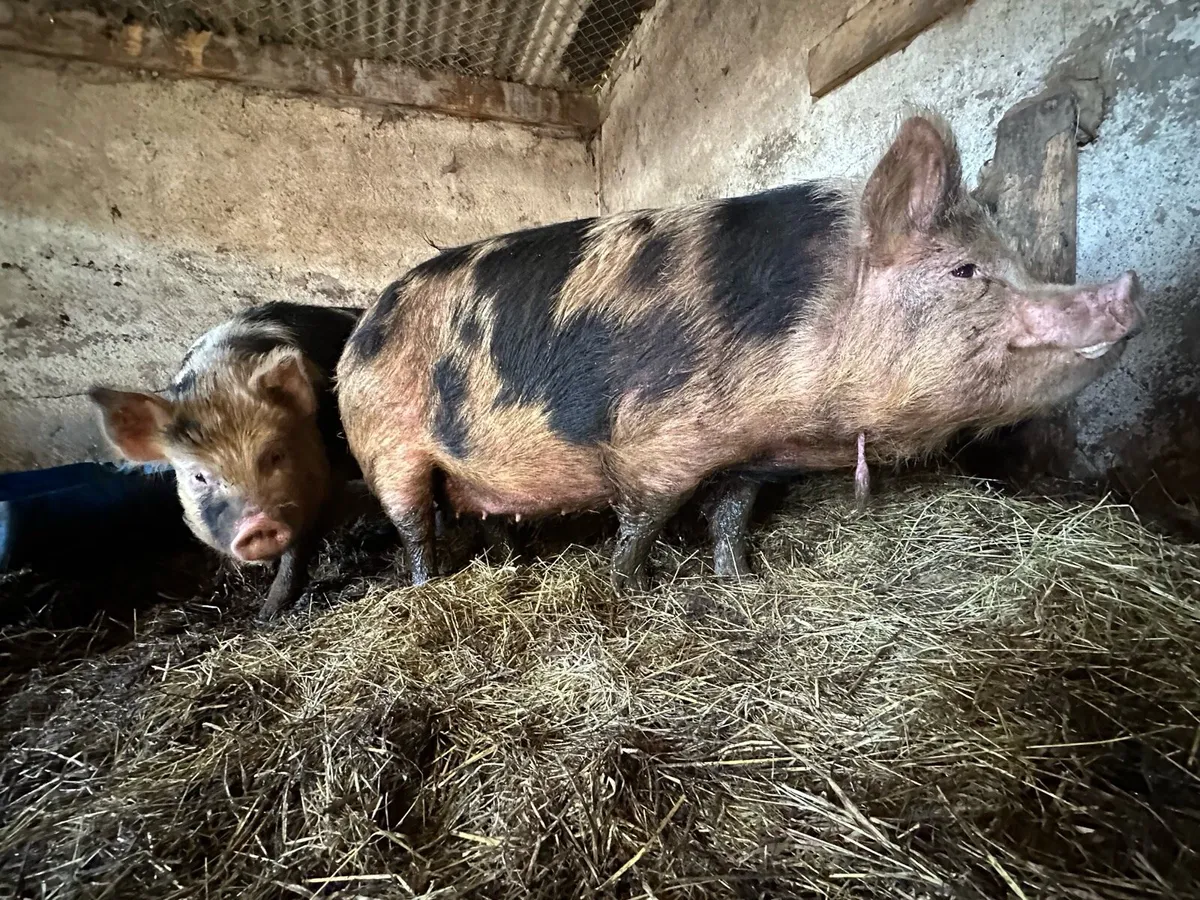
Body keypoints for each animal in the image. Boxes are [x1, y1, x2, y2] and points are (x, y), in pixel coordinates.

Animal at [90, 302, 364, 618]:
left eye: (276, 455)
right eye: (198, 476)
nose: (258, 524)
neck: (217, 382)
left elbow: (297, 548)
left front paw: (266, 615)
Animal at [335, 113, 1143, 592]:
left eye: (1017, 260)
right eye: (967, 271)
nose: (1129, 293)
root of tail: (359, 330)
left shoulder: (749, 452)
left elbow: (731, 513)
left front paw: (741, 581)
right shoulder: (653, 439)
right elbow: (646, 517)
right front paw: (629, 588)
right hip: (387, 447)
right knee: (413, 524)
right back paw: (427, 588)